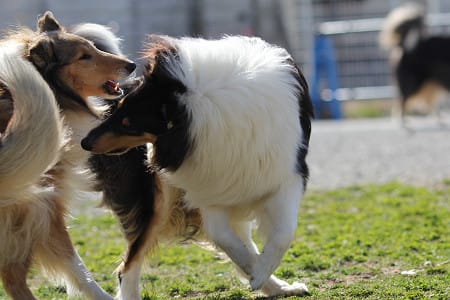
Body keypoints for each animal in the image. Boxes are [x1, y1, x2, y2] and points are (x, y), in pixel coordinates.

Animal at [81, 34, 312, 298]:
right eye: (118, 110)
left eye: (129, 123)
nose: (85, 142)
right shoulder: (207, 186)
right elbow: (224, 238)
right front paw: (254, 268)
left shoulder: (286, 175)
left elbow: (283, 233)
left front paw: (259, 272)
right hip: (158, 202)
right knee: (128, 266)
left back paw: (277, 286)